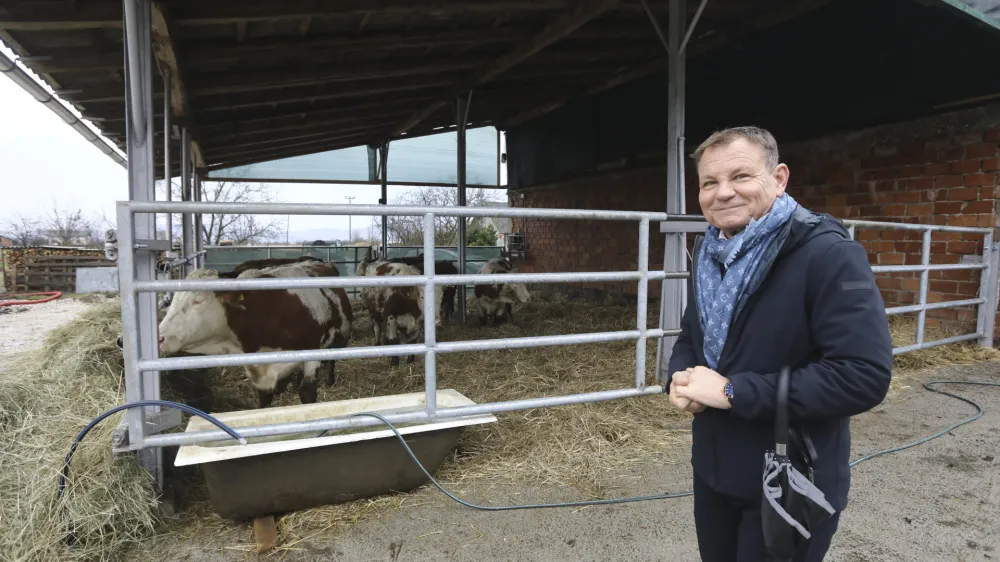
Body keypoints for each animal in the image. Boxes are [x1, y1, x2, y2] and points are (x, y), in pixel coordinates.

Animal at [158, 258, 354, 406]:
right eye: (172, 300)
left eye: (198, 300)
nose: (160, 337)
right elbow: (264, 398)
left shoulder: (311, 355)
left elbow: (307, 393)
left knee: (331, 362)